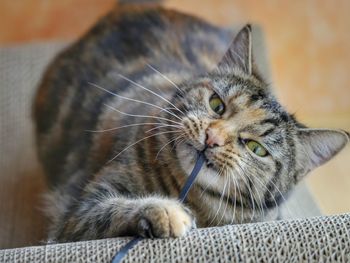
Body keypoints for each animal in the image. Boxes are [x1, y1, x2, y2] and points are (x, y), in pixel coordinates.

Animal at [32, 4, 348, 243]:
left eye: (256, 148)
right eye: (217, 104)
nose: (212, 137)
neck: (187, 194)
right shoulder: (75, 213)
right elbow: (111, 209)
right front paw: (166, 212)